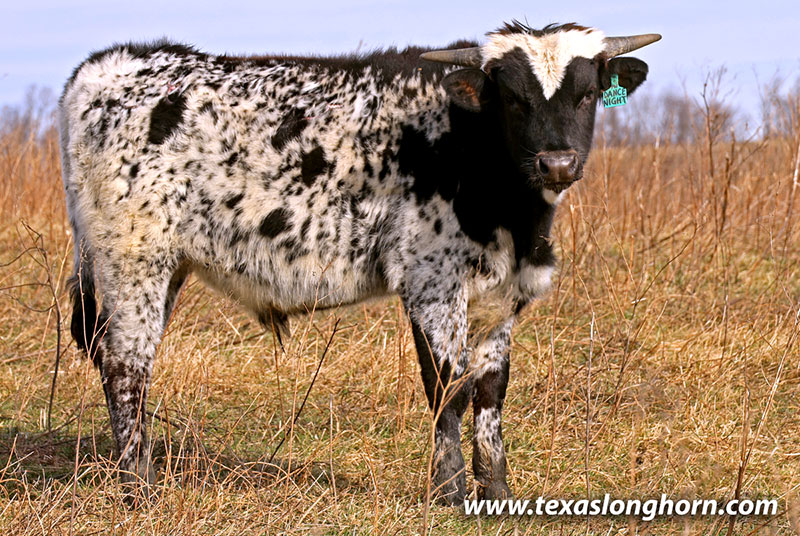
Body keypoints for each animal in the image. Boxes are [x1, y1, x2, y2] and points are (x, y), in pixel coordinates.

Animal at [59, 21, 659, 504]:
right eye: (513, 98)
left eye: (587, 94)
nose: (556, 163)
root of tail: (104, 66)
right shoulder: (432, 283)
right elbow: (448, 387)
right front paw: (448, 492)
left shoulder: (497, 299)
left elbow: (490, 393)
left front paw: (496, 491)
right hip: (134, 260)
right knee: (125, 368)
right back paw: (138, 487)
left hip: (163, 269)